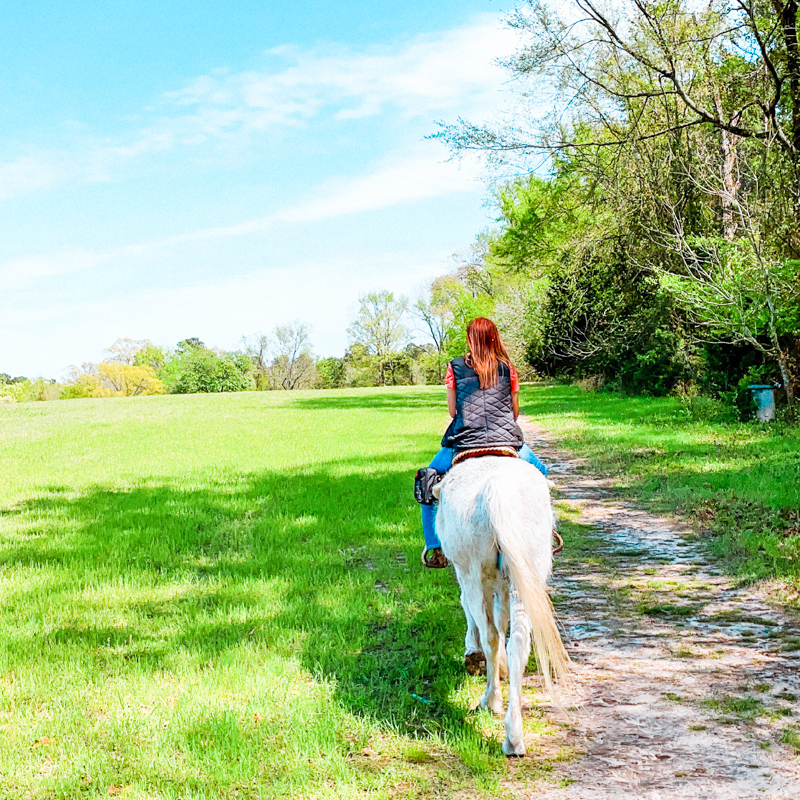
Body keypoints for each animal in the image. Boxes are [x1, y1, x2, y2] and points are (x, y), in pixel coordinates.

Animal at [434, 456, 564, 756]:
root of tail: (498, 490)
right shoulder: (505, 583)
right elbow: (502, 616)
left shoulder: (466, 574)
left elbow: (474, 614)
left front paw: (473, 653)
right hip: (525, 574)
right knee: (519, 642)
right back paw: (514, 737)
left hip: (473, 573)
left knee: (490, 635)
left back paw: (490, 700)